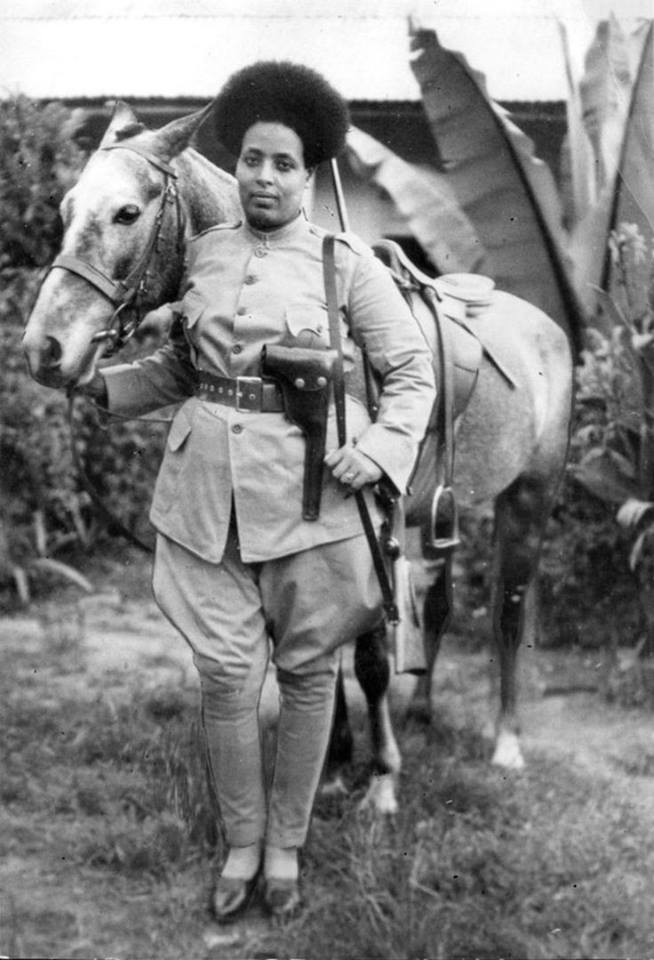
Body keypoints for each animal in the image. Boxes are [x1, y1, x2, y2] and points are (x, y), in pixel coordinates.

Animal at [21, 103, 576, 808]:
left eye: (126, 213)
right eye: (65, 208)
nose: (45, 349)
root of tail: (547, 328)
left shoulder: (371, 521)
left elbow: (368, 657)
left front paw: (381, 780)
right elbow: (323, 648)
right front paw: (333, 762)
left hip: (529, 497)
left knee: (508, 608)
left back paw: (505, 741)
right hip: (444, 510)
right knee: (441, 599)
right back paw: (423, 709)